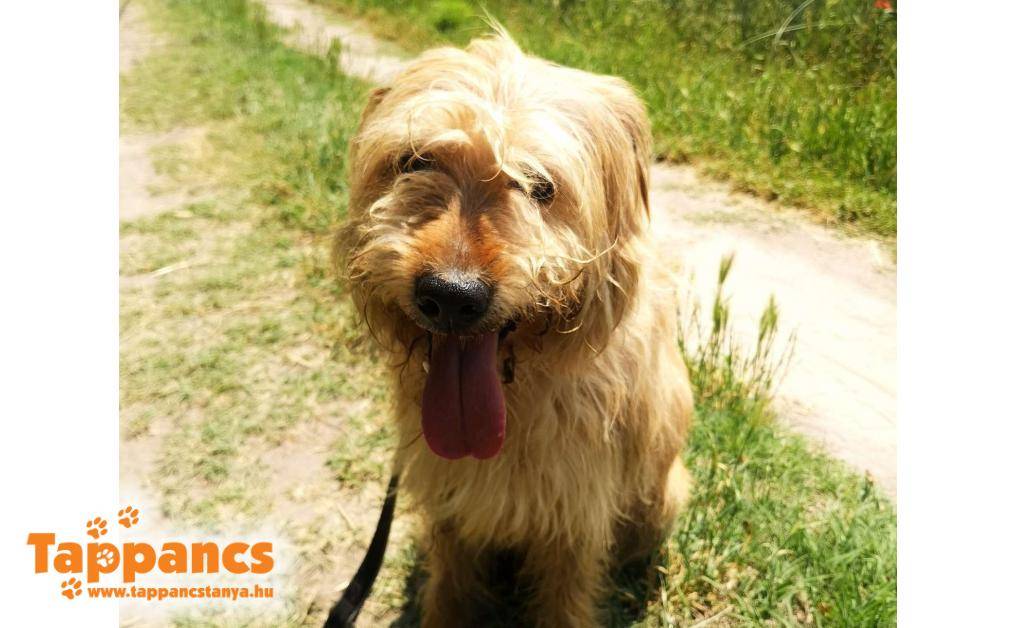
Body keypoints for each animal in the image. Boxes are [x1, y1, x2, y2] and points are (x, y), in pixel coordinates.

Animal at [338, 30, 693, 627]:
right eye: (415, 161)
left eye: (540, 186)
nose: (450, 297)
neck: (519, 396)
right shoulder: (449, 500)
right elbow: (451, 584)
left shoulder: (576, 519)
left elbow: (563, 602)